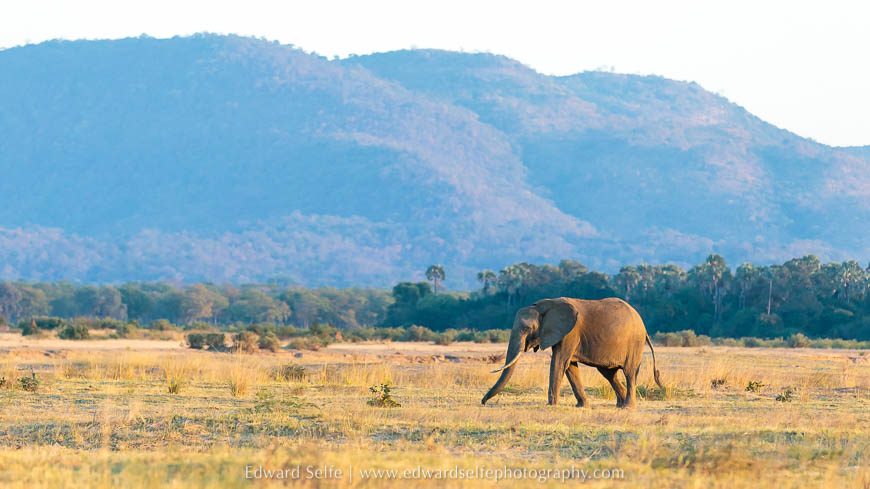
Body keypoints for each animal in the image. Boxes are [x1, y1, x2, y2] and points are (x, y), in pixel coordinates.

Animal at [481, 297, 662, 408]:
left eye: (527, 329)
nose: (483, 402)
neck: (545, 305)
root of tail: (644, 327)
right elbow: (570, 366)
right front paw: (582, 407)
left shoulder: (570, 333)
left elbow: (559, 361)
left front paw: (551, 406)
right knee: (609, 374)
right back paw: (619, 405)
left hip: (634, 343)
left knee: (629, 373)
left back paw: (627, 407)